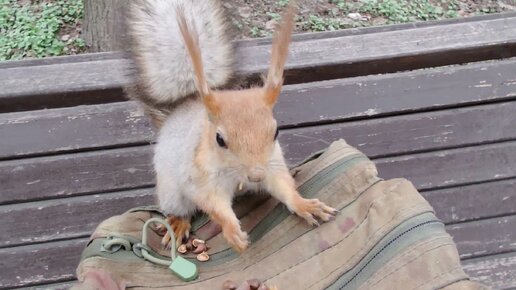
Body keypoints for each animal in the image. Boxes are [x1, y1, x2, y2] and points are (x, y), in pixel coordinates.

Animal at [124, 0, 334, 253]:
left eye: (276, 131)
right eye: (220, 139)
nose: (256, 175)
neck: (238, 177)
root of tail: (180, 110)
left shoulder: (273, 164)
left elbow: (283, 186)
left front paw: (305, 205)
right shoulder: (200, 178)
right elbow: (213, 205)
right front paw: (233, 231)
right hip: (171, 190)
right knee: (179, 208)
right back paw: (178, 223)